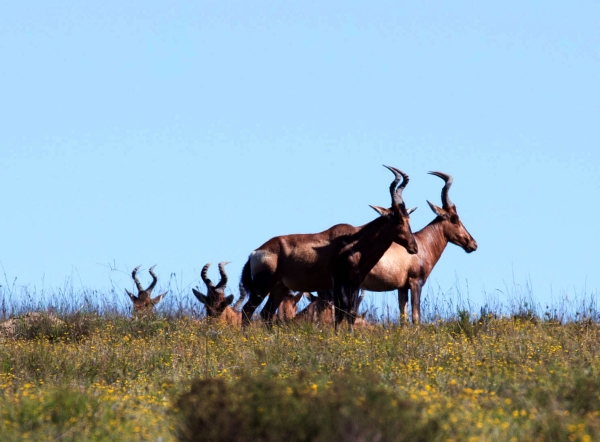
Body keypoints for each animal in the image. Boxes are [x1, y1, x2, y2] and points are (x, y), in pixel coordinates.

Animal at [239, 164, 418, 330]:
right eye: (397, 219)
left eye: (408, 218)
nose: (414, 247)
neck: (355, 241)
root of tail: (255, 252)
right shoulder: (339, 283)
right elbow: (340, 313)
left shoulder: (354, 284)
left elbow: (351, 313)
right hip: (263, 285)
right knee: (248, 310)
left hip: (279, 287)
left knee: (266, 313)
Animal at [360, 171, 478, 322]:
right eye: (454, 219)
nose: (473, 244)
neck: (421, 243)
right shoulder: (416, 283)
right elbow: (416, 316)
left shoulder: (402, 287)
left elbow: (403, 317)